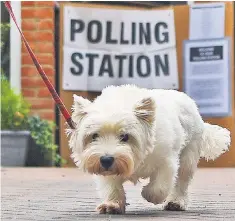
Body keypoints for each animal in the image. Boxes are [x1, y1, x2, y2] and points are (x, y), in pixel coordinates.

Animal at [67, 84, 230, 214]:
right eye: (94, 136)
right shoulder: (107, 170)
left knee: (182, 180)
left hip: (188, 155)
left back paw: (176, 202)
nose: (106, 159)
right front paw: (112, 204)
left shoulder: (167, 161)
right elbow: (111, 185)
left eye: (125, 136)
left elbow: (159, 187)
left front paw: (149, 194)